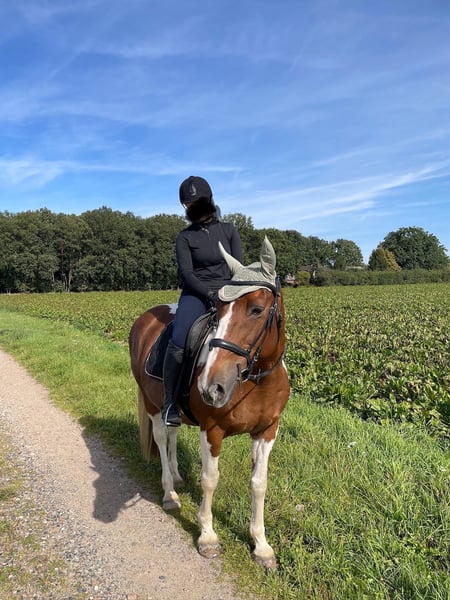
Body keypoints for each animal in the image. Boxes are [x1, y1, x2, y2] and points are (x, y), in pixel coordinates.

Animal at [129, 237, 290, 570]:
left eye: (256, 309)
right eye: (219, 308)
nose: (210, 387)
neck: (257, 381)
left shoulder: (267, 431)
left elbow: (259, 483)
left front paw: (261, 546)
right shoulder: (212, 430)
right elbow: (210, 480)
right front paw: (208, 537)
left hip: (171, 408)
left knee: (172, 432)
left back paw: (177, 476)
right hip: (152, 404)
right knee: (161, 438)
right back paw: (170, 493)